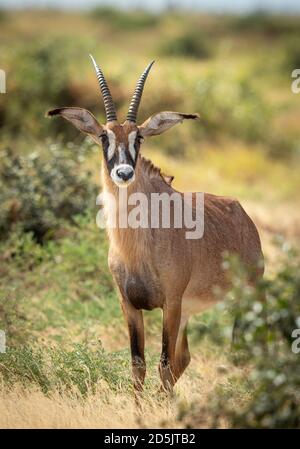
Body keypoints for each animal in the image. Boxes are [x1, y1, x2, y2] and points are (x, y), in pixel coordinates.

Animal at [47, 57, 262, 394]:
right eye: (104, 137)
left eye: (139, 138)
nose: (123, 173)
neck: (137, 247)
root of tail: (242, 214)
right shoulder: (130, 305)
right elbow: (139, 364)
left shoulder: (170, 304)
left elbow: (162, 364)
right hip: (189, 311)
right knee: (183, 358)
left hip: (246, 298)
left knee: (243, 351)